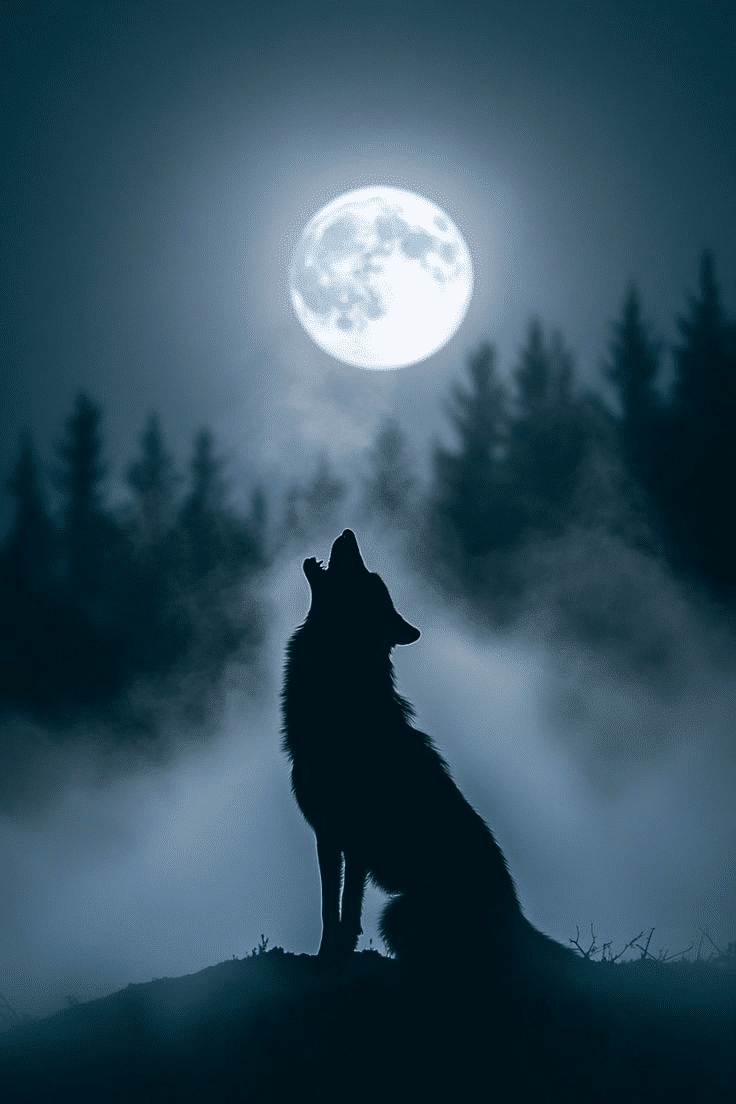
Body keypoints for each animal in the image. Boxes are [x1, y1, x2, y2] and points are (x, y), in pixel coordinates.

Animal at [282, 529, 573, 972]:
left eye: (368, 580)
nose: (349, 533)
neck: (342, 703)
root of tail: (516, 918)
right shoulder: (328, 834)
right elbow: (329, 910)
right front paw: (324, 956)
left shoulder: (356, 838)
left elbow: (347, 908)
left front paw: (339, 957)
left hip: (398, 913)